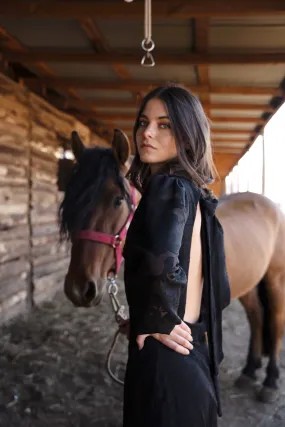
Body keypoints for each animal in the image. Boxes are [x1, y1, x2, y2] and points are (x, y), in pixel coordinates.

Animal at [60, 130, 284, 404]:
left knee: (275, 322)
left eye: (117, 200)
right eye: (70, 199)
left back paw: (270, 381)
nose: (79, 288)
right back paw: (249, 371)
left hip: (276, 280)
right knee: (257, 317)